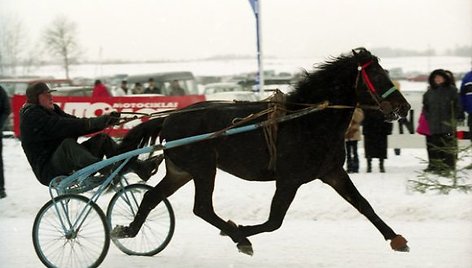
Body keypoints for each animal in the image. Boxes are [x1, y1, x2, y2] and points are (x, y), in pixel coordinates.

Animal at [112, 48, 412, 255]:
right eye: (378, 76)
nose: (405, 107)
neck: (307, 121)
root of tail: (170, 119)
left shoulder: (332, 172)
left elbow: (363, 204)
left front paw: (396, 238)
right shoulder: (289, 180)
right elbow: (274, 221)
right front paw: (240, 230)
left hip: (182, 171)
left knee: (151, 197)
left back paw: (127, 231)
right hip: (203, 169)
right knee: (202, 208)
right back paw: (238, 237)